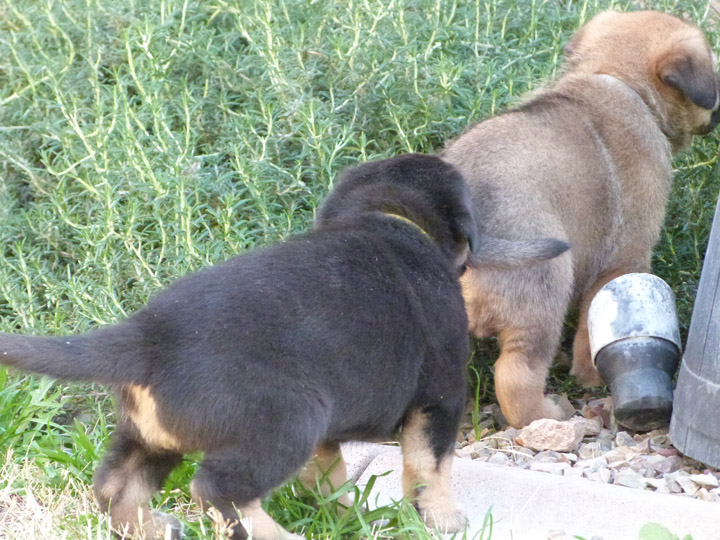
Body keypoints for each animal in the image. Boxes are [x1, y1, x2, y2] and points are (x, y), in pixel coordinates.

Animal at [0, 153, 568, 540]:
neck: (388, 219)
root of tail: (145, 335)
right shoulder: (440, 400)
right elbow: (432, 467)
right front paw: (445, 520)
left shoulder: (332, 433)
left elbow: (330, 478)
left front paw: (345, 516)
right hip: (289, 421)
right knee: (215, 490)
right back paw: (279, 536)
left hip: (150, 435)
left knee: (115, 486)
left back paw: (156, 527)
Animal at [444, 10, 720, 428]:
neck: (617, 79)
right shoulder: (621, 260)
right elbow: (591, 332)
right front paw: (590, 377)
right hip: (541, 294)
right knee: (516, 375)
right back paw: (549, 413)